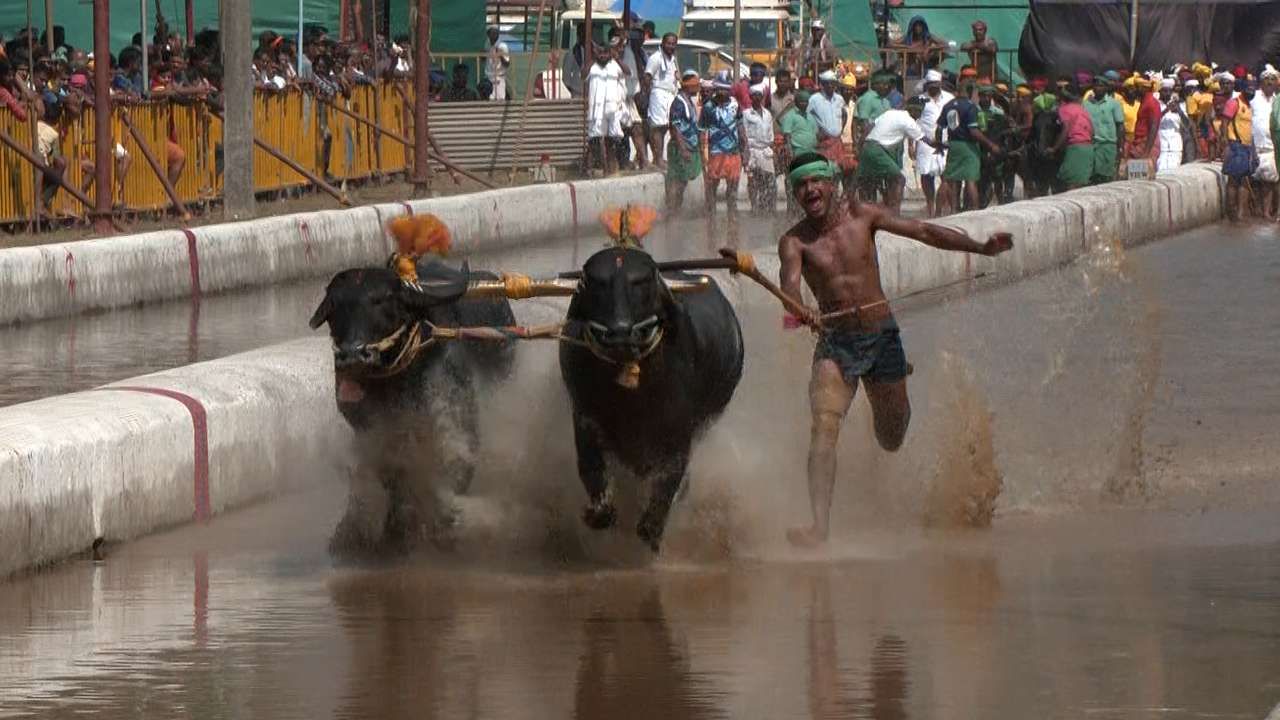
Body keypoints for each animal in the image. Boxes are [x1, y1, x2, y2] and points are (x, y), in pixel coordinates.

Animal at [309, 258, 514, 556]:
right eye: (335, 305)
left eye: (382, 299)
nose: (352, 354)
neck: (397, 380)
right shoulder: (372, 429)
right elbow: (394, 474)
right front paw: (393, 531)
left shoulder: (455, 415)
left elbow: (454, 464)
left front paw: (443, 522)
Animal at [555, 245, 747, 548]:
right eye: (594, 282)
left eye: (642, 281)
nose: (620, 333)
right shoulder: (585, 419)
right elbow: (591, 470)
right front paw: (599, 513)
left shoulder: (678, 436)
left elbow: (668, 481)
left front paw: (652, 528)